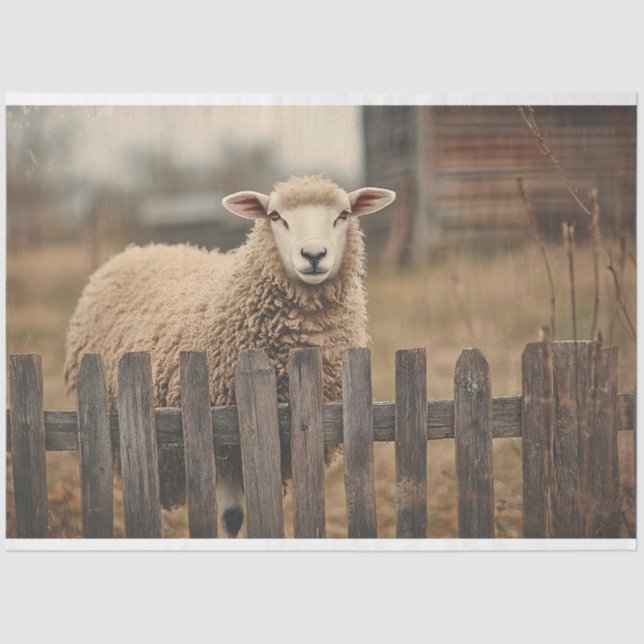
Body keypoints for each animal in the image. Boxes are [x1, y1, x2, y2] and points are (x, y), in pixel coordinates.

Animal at [64, 175, 396, 537]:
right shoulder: (223, 442)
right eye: (275, 216)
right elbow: (232, 517)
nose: (313, 255)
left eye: (344, 214)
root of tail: (139, 250)